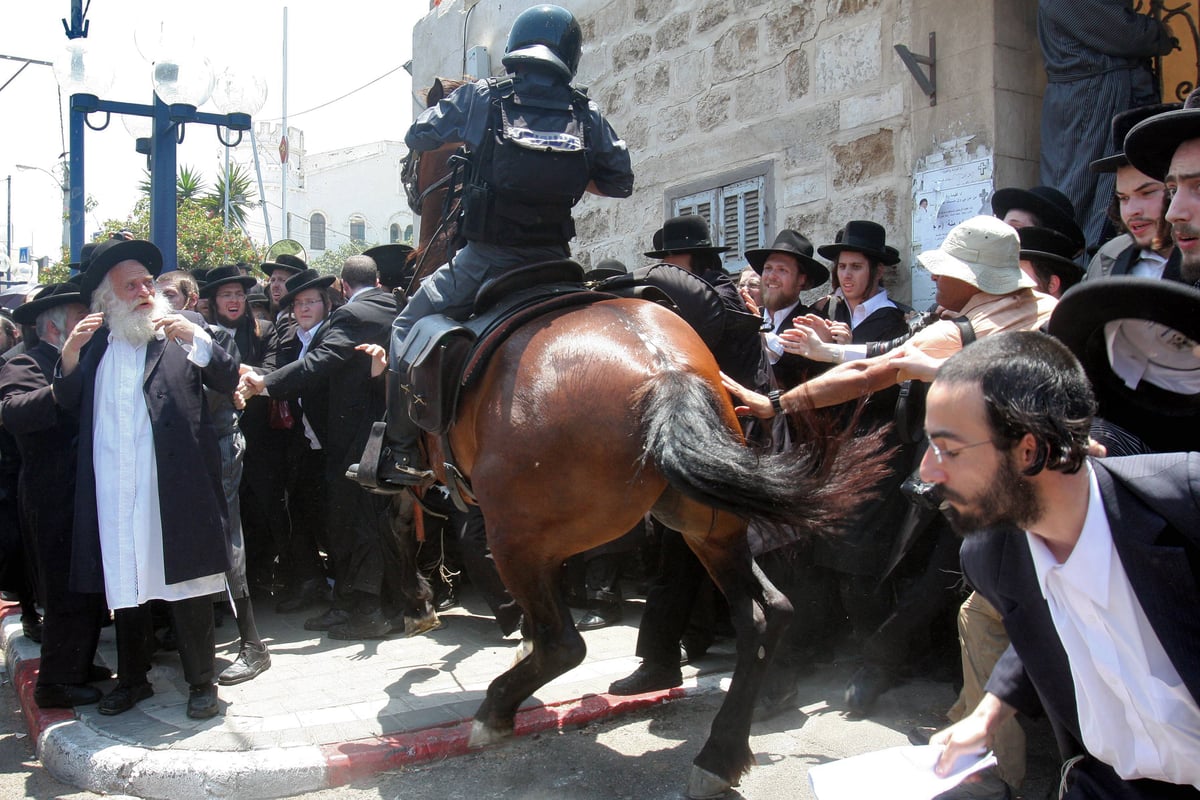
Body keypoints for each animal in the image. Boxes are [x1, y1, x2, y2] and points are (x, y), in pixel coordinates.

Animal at [403, 77, 883, 796]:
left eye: (415, 159)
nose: (412, 198)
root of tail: (665, 374)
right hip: (708, 524)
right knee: (765, 614)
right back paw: (720, 752)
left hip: (522, 537)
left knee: (564, 642)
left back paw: (496, 710)